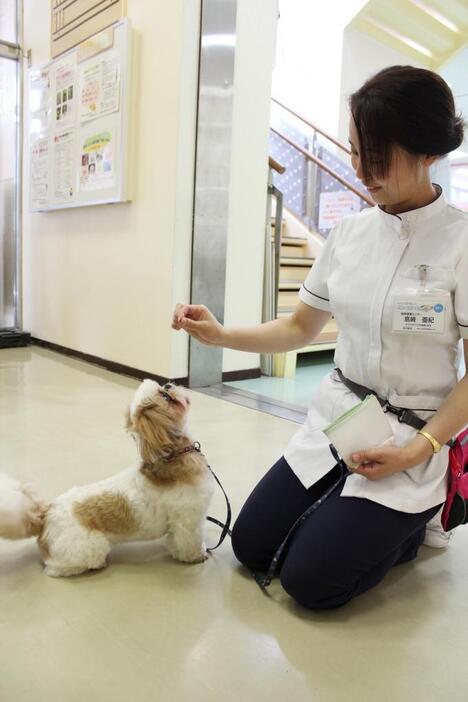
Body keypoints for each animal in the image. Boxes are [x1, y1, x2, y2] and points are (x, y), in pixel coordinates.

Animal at [0, 382, 215, 580]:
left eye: (164, 388)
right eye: (164, 395)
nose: (169, 384)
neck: (172, 454)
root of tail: (45, 515)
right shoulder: (189, 520)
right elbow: (189, 543)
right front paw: (197, 555)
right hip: (90, 546)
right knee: (56, 568)